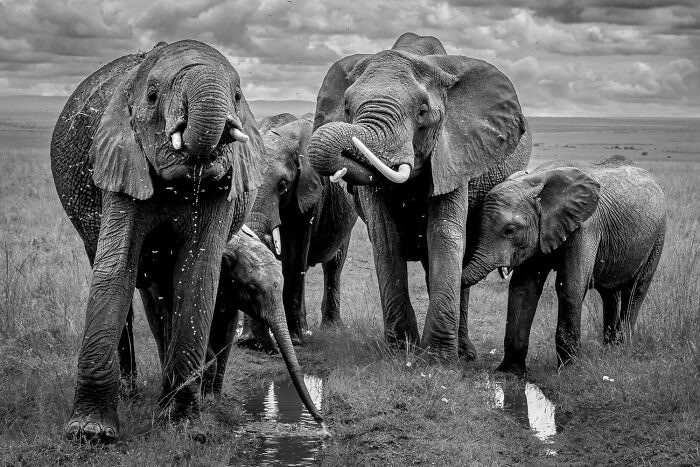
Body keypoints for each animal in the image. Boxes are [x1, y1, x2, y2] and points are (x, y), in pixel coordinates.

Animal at [50, 40, 320, 443]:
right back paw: (130, 394)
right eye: (152, 96)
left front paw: (183, 425)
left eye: (237, 95)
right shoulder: (120, 160)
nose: (320, 421)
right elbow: (115, 270)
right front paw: (89, 433)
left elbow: (198, 276)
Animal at [245, 114, 358, 344]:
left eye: (282, 185)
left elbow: (294, 257)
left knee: (333, 265)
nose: (254, 343)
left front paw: (296, 340)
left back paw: (329, 329)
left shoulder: (310, 194)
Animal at [306, 32, 532, 361]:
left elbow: (444, 234)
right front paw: (401, 350)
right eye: (346, 107)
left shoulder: (455, 154)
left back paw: (465, 352)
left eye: (422, 111)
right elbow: (385, 237)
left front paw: (438, 359)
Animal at [461, 156, 666, 373]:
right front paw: (511, 371)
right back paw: (609, 349)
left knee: (636, 290)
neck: (535, 181)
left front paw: (569, 371)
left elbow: (570, 287)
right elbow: (523, 288)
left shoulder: (585, 227)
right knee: (610, 293)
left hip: (658, 236)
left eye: (510, 230)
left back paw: (620, 349)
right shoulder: (539, 234)